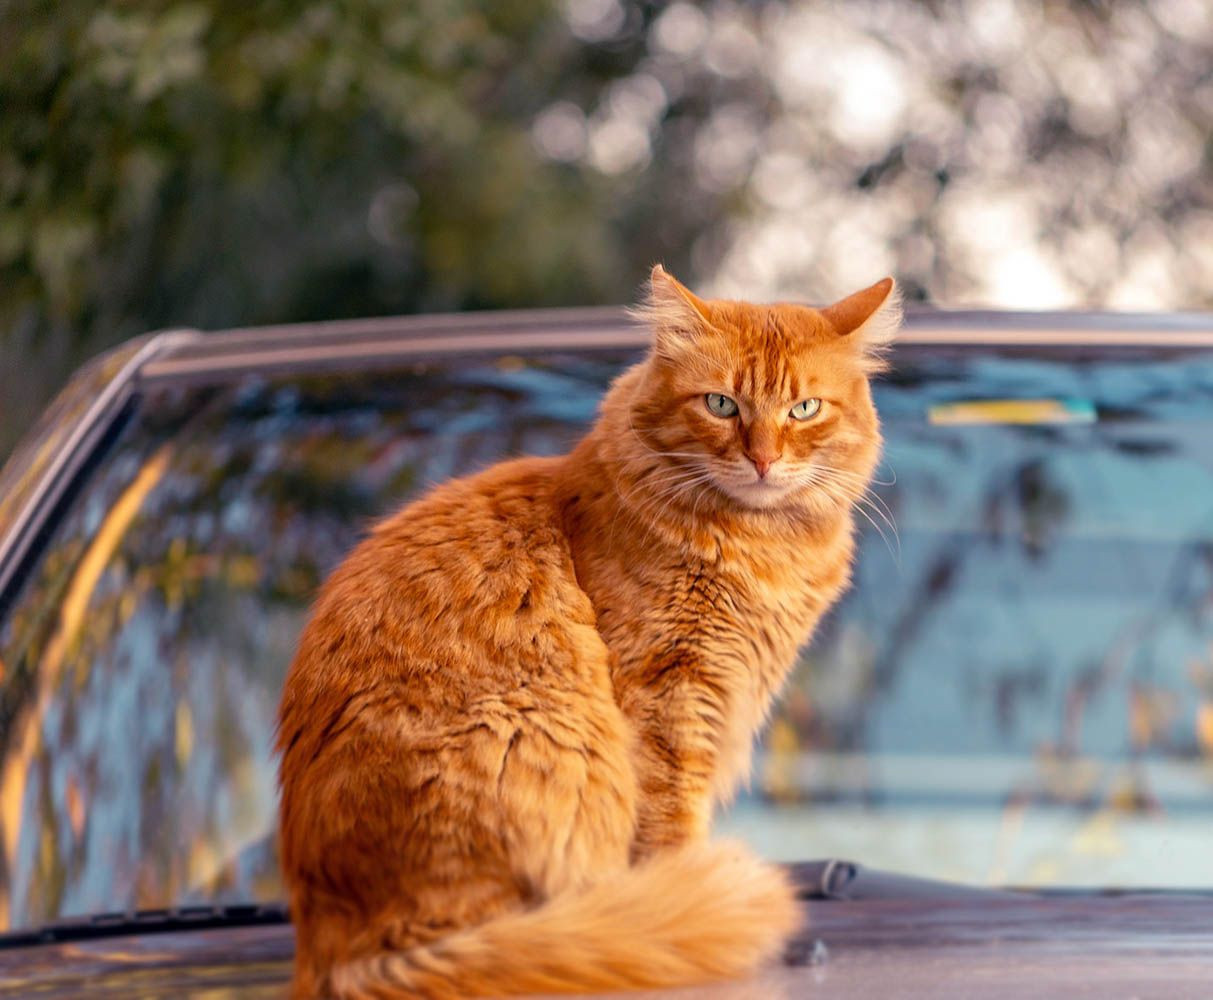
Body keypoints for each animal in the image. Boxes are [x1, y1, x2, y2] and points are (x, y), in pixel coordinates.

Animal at [275, 266, 902, 1000]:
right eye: (721, 405)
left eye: (803, 410)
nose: (764, 461)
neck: (756, 546)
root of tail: (329, 952)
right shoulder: (669, 694)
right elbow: (671, 829)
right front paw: (685, 894)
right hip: (534, 736)